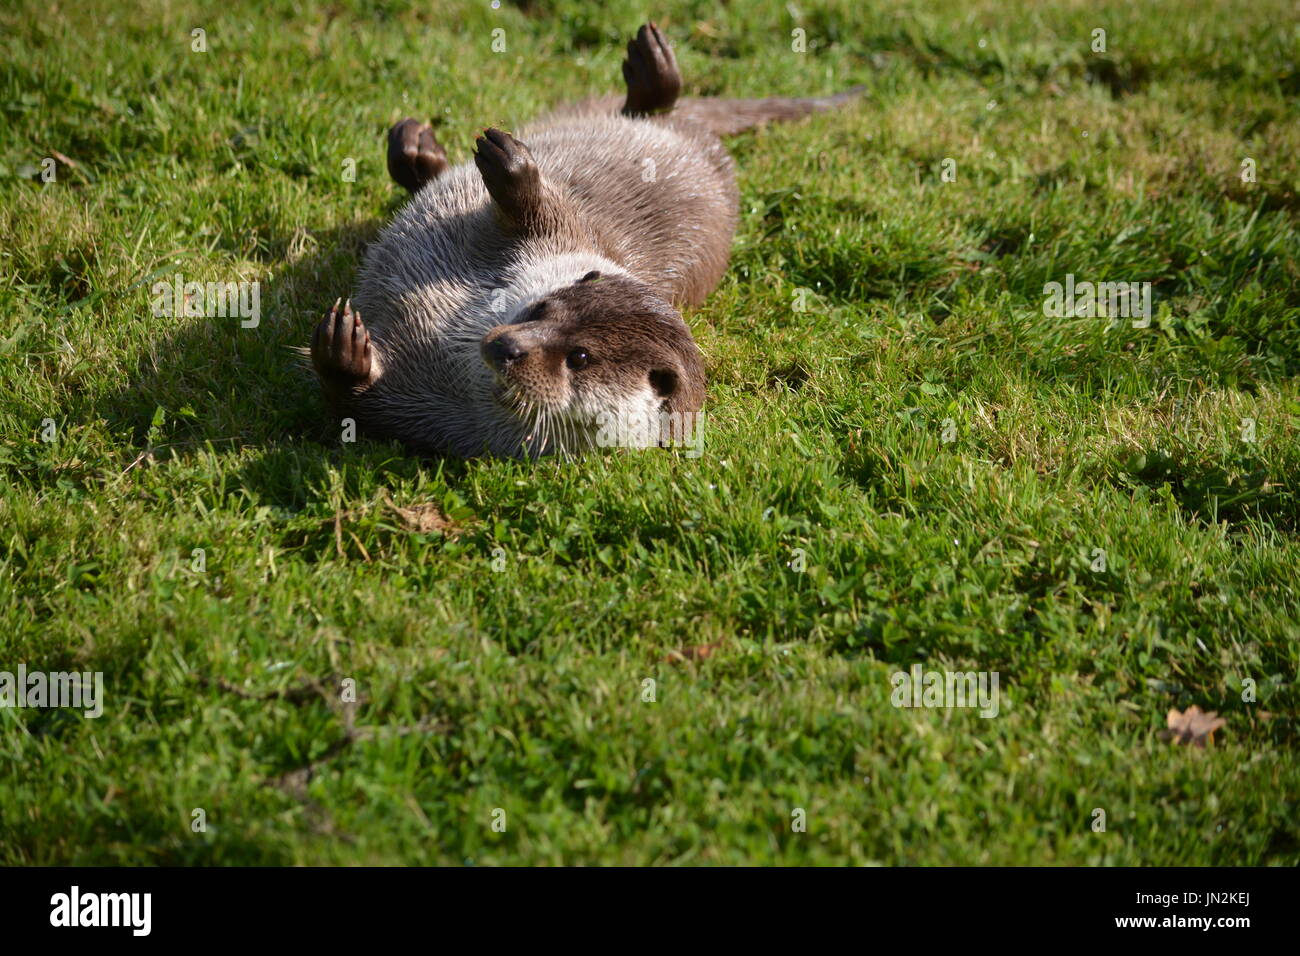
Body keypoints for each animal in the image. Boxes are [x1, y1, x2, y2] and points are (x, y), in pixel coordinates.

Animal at [310, 21, 863, 455]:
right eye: (540, 309)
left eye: (579, 358)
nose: (507, 345)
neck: (450, 343)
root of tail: (709, 143)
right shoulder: (562, 238)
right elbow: (538, 210)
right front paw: (507, 162)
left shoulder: (427, 418)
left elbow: (356, 406)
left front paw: (344, 351)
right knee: (642, 109)